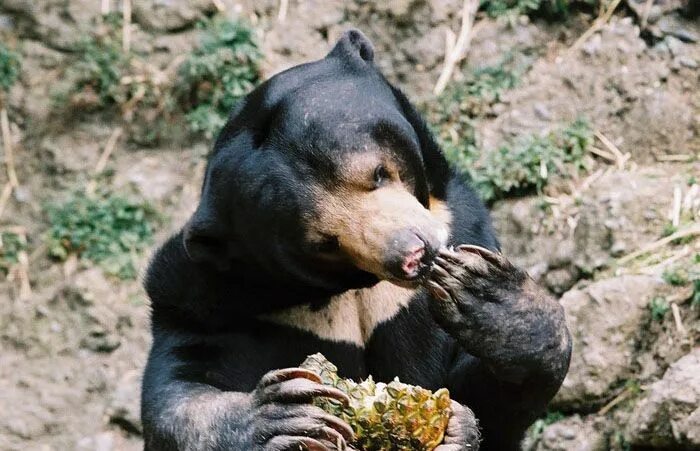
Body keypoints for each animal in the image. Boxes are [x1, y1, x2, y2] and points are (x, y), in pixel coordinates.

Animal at [139, 30, 572, 450]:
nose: (415, 255)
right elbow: (176, 394)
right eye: (325, 244)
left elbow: (489, 399)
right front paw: (279, 418)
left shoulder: (465, 222)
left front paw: (486, 295)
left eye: (378, 173)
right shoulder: (205, 299)